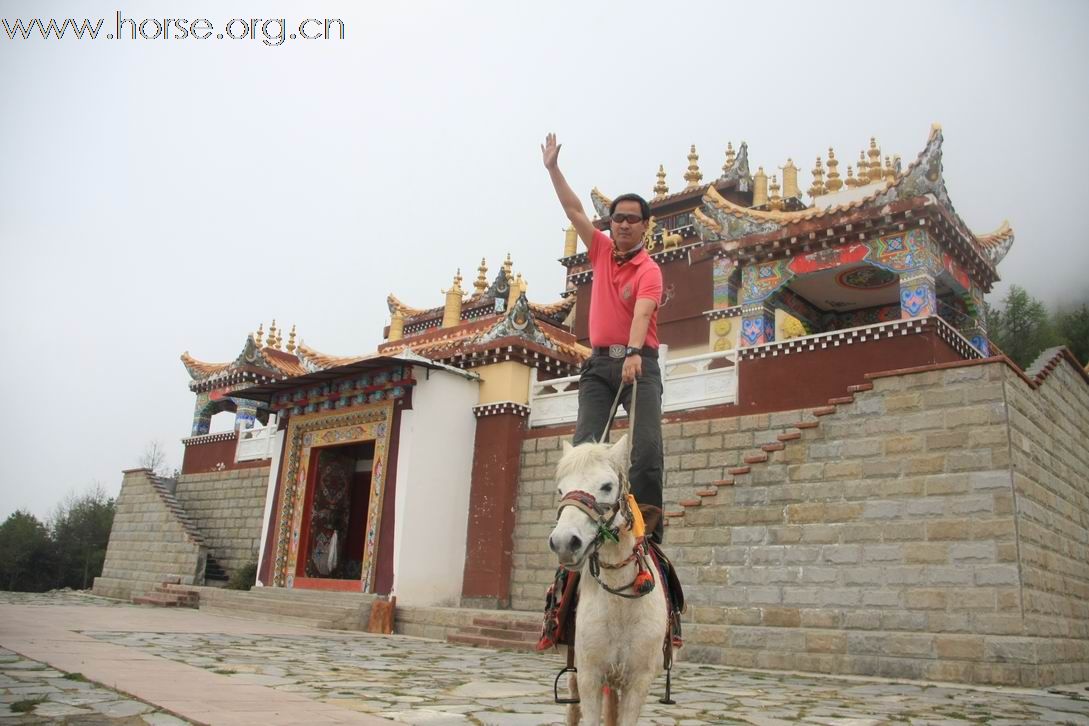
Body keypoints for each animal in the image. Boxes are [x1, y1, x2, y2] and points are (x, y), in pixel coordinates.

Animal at [548, 437, 666, 726]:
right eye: (561, 490)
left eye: (606, 486)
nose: (564, 543)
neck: (619, 604)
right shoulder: (590, 674)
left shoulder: (638, 680)